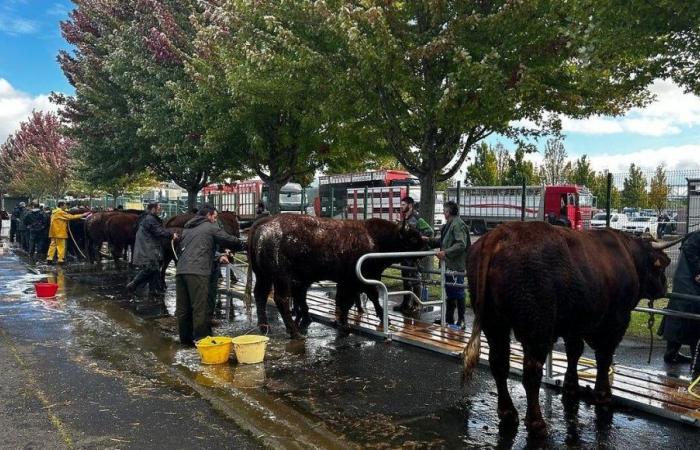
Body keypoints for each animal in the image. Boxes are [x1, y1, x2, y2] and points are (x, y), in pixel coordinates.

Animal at [249, 214, 424, 338]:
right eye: (413, 237)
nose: (427, 244)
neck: (374, 238)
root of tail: (263, 229)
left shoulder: (350, 281)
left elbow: (351, 300)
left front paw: (344, 322)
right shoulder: (356, 281)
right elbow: (357, 299)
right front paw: (348, 324)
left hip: (263, 276)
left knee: (260, 295)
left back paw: (265, 327)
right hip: (281, 278)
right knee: (281, 299)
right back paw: (295, 332)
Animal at [462, 223, 680, 438]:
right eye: (661, 267)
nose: (665, 287)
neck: (629, 255)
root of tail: (499, 233)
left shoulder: (575, 324)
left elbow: (574, 352)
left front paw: (571, 387)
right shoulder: (615, 322)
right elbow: (604, 357)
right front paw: (603, 394)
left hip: (495, 324)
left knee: (499, 363)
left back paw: (508, 412)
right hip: (537, 328)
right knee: (531, 372)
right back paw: (536, 422)